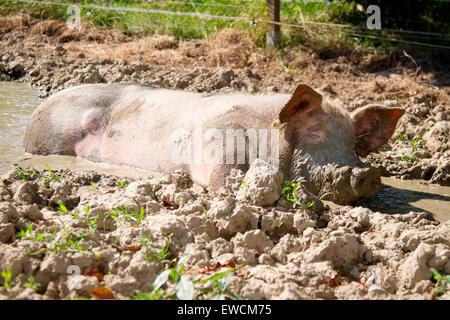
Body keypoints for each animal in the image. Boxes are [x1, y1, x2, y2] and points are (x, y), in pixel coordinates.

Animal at [23, 84, 404, 204]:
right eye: (315, 133)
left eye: (353, 143)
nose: (363, 173)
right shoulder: (218, 140)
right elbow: (224, 177)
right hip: (49, 139)